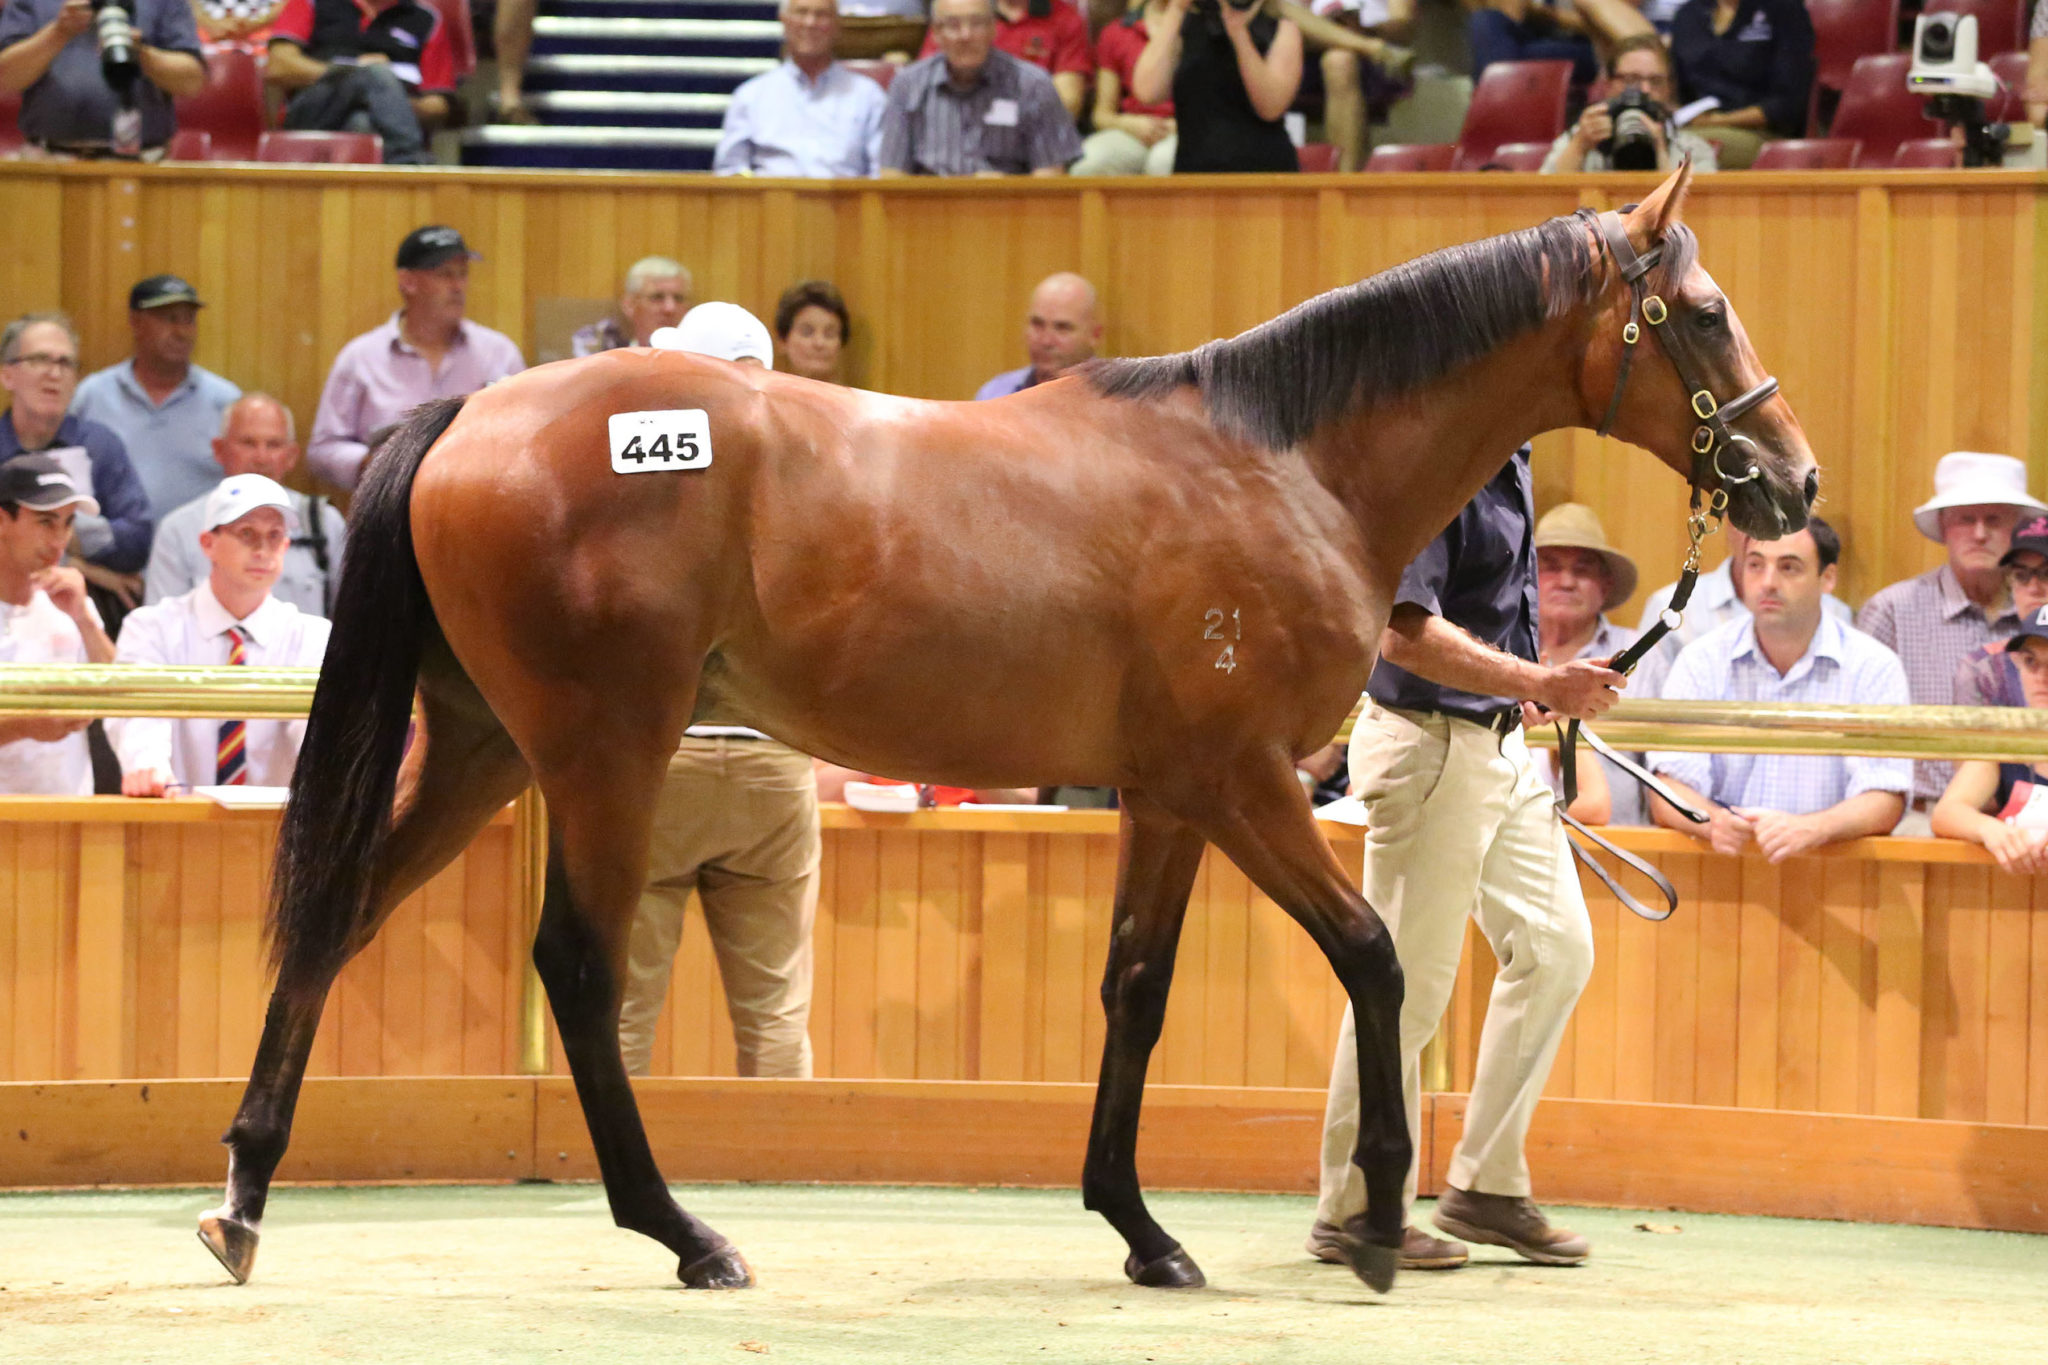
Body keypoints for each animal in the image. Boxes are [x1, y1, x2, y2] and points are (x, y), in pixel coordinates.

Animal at [199, 165, 1818, 1301]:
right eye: (1704, 312)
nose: (1792, 485)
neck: (1282, 462)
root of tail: (471, 417)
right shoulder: (1247, 785)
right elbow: (1373, 959)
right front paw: (1367, 1223)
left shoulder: (1169, 796)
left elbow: (1135, 995)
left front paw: (1142, 1229)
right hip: (604, 753)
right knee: (581, 973)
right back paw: (683, 1233)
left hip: (482, 748)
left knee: (337, 914)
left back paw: (246, 1195)